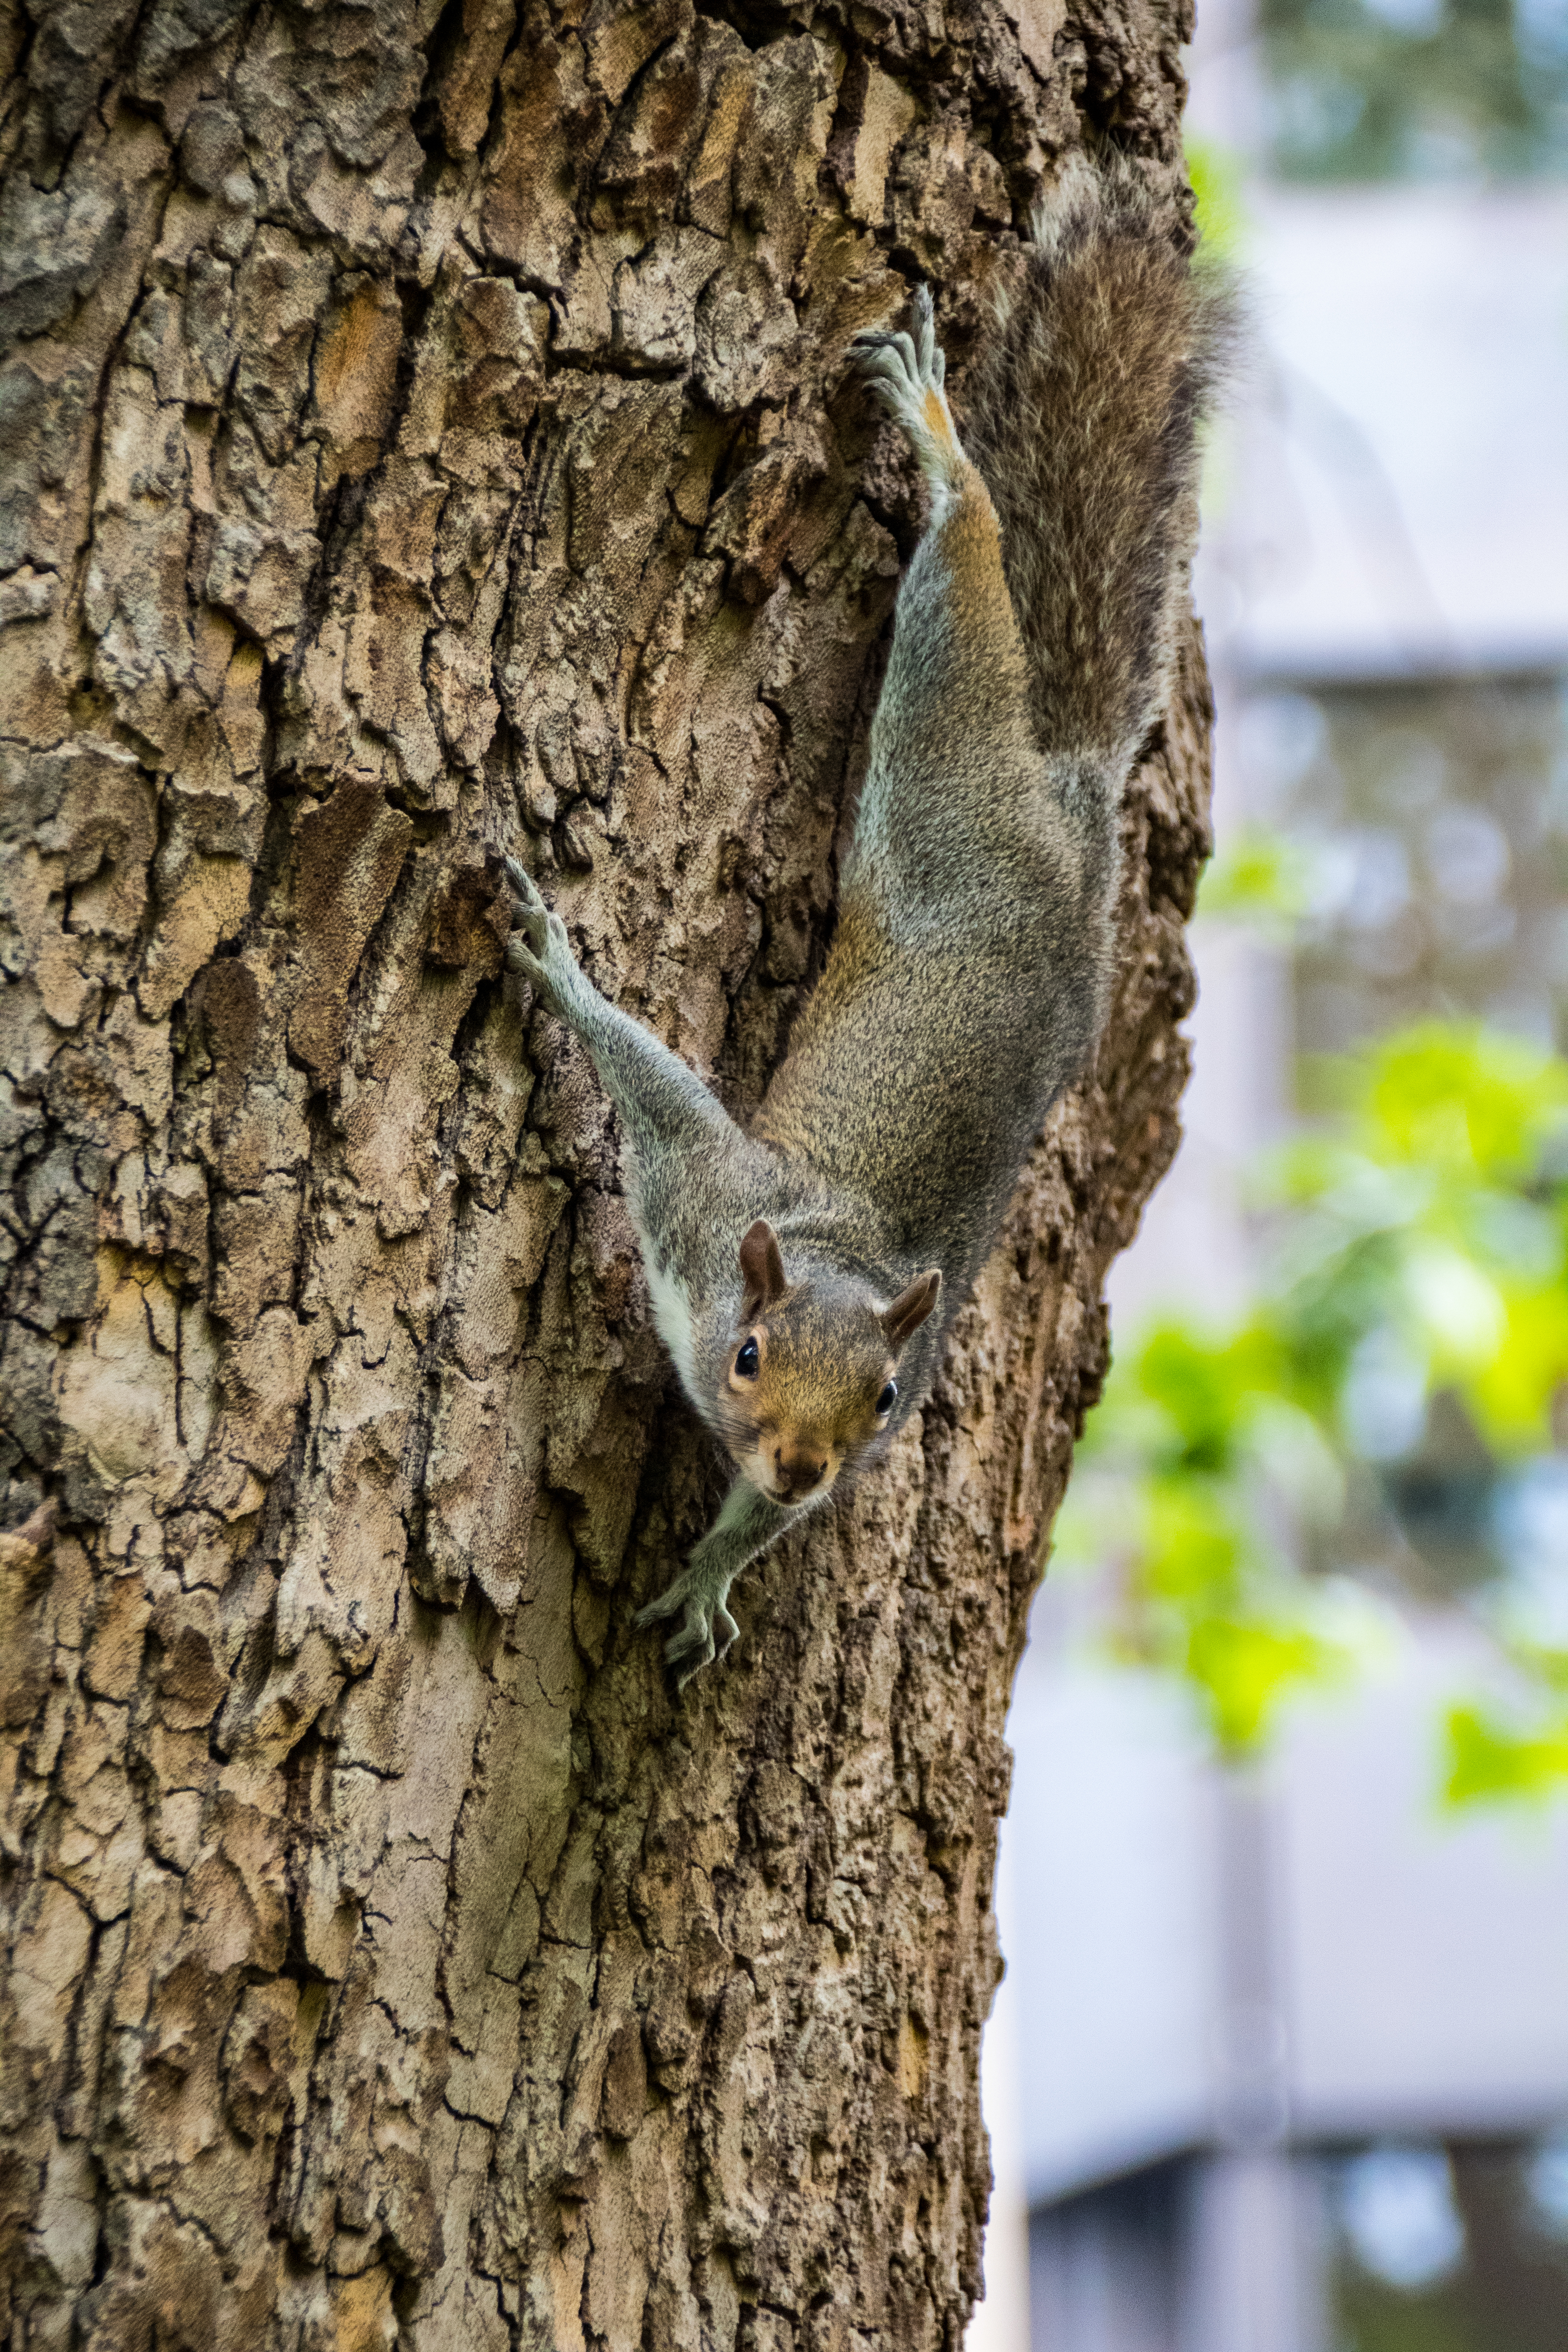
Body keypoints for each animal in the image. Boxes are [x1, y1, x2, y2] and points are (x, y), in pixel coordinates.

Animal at [503, 156, 1241, 1684]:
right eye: (747, 1359)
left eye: (888, 1392)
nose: (797, 1463)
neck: (825, 1263)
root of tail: (1074, 798)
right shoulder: (702, 1189)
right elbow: (653, 1088)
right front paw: (563, 969)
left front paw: (716, 1567)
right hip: (942, 740)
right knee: (972, 550)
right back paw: (937, 436)